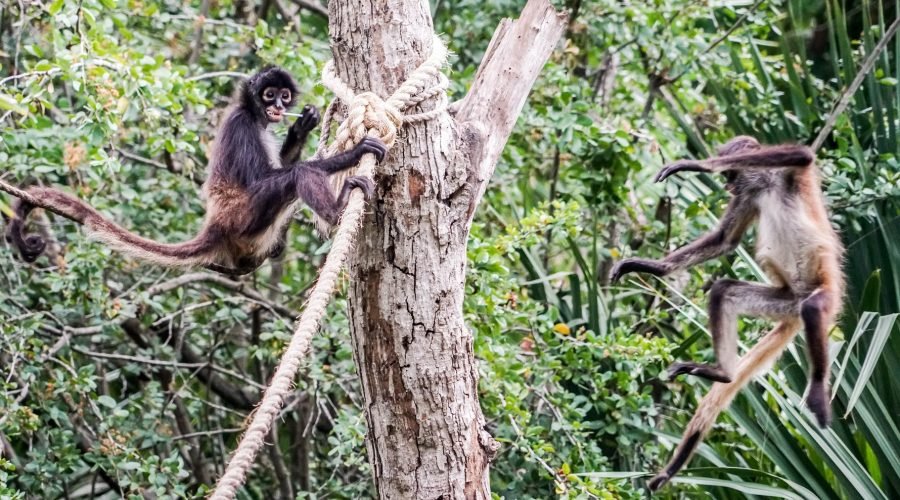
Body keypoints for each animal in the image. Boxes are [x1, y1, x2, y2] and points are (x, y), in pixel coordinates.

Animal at [5, 66, 387, 276]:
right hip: (243, 217)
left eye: (283, 96)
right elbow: (274, 176)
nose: (278, 106)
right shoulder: (242, 125)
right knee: (299, 176)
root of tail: (216, 224)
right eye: (268, 95)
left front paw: (300, 128)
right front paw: (353, 153)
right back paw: (338, 210)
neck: (253, 113)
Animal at [610, 136, 844, 490]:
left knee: (814, 308)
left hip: (822, 295)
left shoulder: (781, 176)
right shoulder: (748, 194)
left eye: (730, 172)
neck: (765, 183)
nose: (726, 183)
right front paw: (650, 266)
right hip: (784, 300)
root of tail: (797, 305)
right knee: (724, 291)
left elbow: (803, 154)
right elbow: (723, 241)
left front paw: (696, 165)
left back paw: (816, 387)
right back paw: (722, 373)